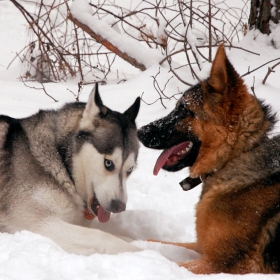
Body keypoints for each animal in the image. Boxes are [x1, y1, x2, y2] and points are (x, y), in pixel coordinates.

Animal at [0, 84, 141, 255]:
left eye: (130, 170)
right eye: (108, 163)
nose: (119, 207)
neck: (61, 163)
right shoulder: (38, 225)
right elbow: (101, 236)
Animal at [137, 44, 280, 274]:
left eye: (184, 110)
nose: (139, 132)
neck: (234, 157)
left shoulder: (218, 263)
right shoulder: (202, 247)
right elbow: (155, 242)